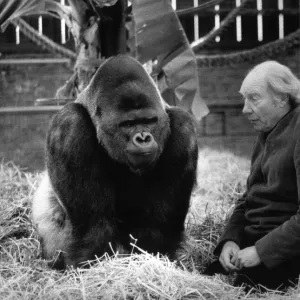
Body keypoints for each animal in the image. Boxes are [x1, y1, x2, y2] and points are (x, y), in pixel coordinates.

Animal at [31, 54, 199, 270]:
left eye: (149, 121)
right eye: (128, 124)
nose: (143, 138)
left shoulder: (183, 127)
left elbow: (159, 225)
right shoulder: (68, 124)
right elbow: (94, 227)